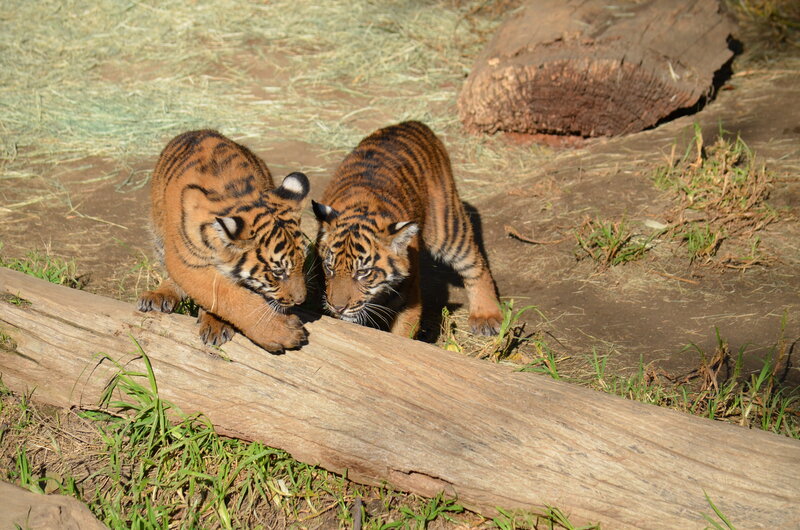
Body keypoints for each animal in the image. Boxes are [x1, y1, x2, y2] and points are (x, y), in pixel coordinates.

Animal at [137, 129, 310, 353]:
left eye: (302, 263)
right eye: (277, 272)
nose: (300, 300)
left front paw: (216, 324)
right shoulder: (185, 262)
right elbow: (222, 294)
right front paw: (282, 331)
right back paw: (159, 295)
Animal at [312, 121, 502, 338]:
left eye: (364, 272)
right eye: (329, 267)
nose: (337, 307)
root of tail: (411, 123)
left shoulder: (408, 302)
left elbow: (400, 337)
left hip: (446, 228)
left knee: (476, 265)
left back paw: (486, 317)